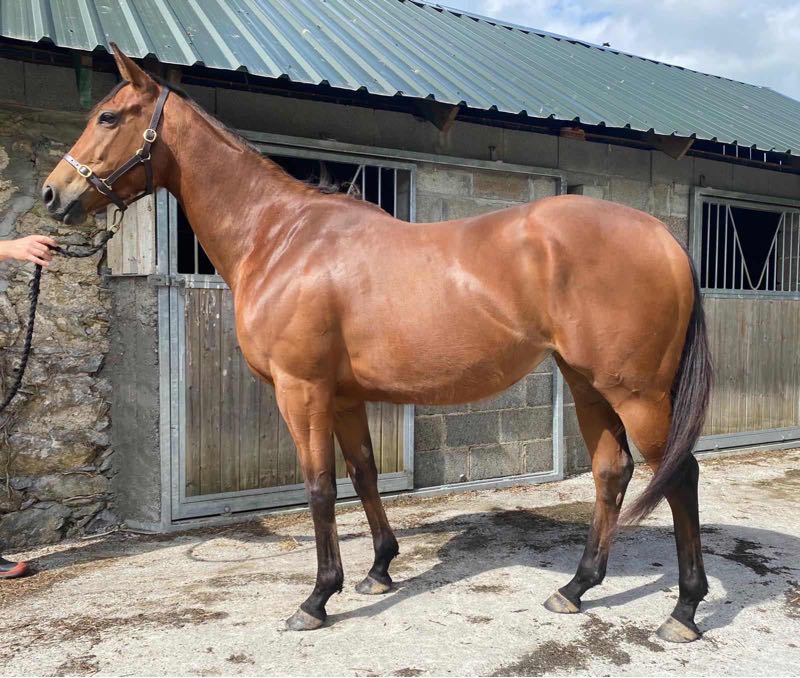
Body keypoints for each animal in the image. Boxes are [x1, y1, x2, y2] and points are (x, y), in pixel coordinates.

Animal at [42, 45, 712, 642]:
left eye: (108, 117)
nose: (53, 195)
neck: (282, 238)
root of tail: (664, 239)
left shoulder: (302, 390)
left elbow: (319, 486)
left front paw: (317, 599)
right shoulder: (342, 395)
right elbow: (363, 473)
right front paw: (380, 569)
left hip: (637, 393)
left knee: (679, 474)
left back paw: (683, 611)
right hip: (586, 382)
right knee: (611, 471)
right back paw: (576, 587)